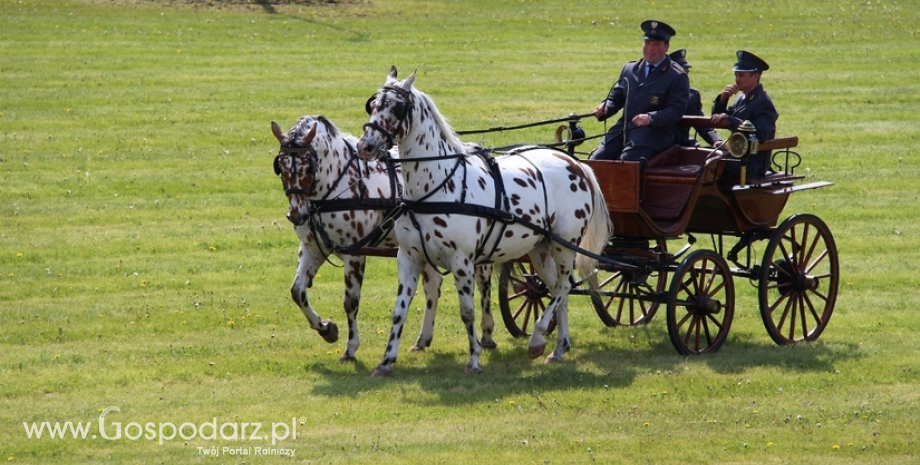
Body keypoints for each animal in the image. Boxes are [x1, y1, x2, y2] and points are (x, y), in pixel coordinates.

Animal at [272, 116, 496, 362]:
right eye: (281, 166)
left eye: (307, 166)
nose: (296, 215)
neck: (341, 182)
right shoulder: (312, 249)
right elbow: (298, 292)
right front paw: (326, 329)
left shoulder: (354, 254)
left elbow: (351, 302)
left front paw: (350, 348)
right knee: (433, 285)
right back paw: (423, 339)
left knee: (484, 284)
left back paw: (486, 335)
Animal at [358, 66, 612, 376]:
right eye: (373, 105)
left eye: (396, 106)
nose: (365, 146)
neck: (436, 186)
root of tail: (576, 163)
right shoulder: (408, 258)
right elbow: (399, 310)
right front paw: (386, 361)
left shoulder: (463, 261)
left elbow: (467, 311)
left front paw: (474, 359)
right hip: (540, 248)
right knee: (556, 290)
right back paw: (558, 348)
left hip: (565, 244)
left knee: (564, 288)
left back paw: (538, 337)